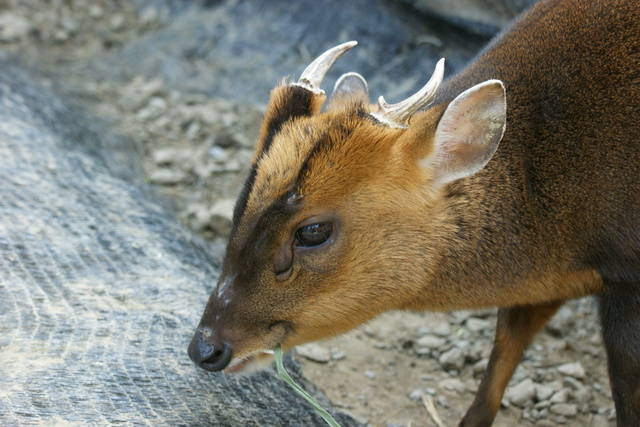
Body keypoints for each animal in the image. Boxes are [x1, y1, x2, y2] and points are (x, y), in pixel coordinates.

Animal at [190, 0, 640, 424]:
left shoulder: (626, 276)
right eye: (239, 203)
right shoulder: (545, 285)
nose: (205, 348)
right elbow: (503, 353)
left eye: (313, 231)